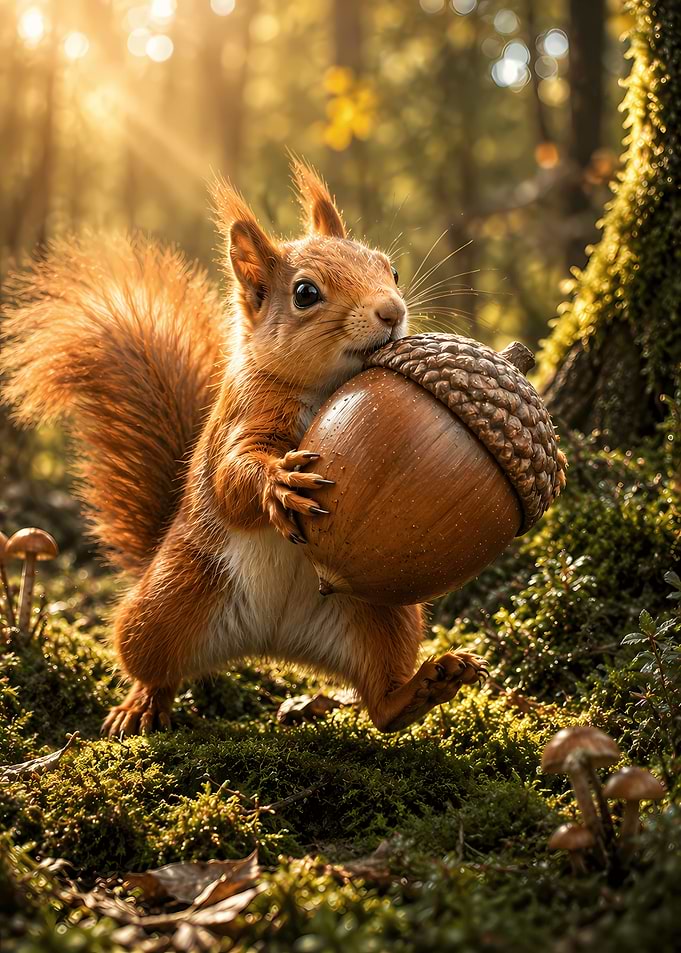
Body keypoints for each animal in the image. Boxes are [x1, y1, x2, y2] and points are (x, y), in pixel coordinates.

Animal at [1, 160, 486, 736]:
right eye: (305, 293)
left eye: (388, 269)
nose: (392, 311)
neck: (323, 386)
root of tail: (274, 642)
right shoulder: (244, 416)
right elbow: (233, 478)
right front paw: (278, 483)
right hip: (168, 599)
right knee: (152, 665)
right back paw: (139, 706)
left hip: (384, 614)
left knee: (380, 699)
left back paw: (427, 685)